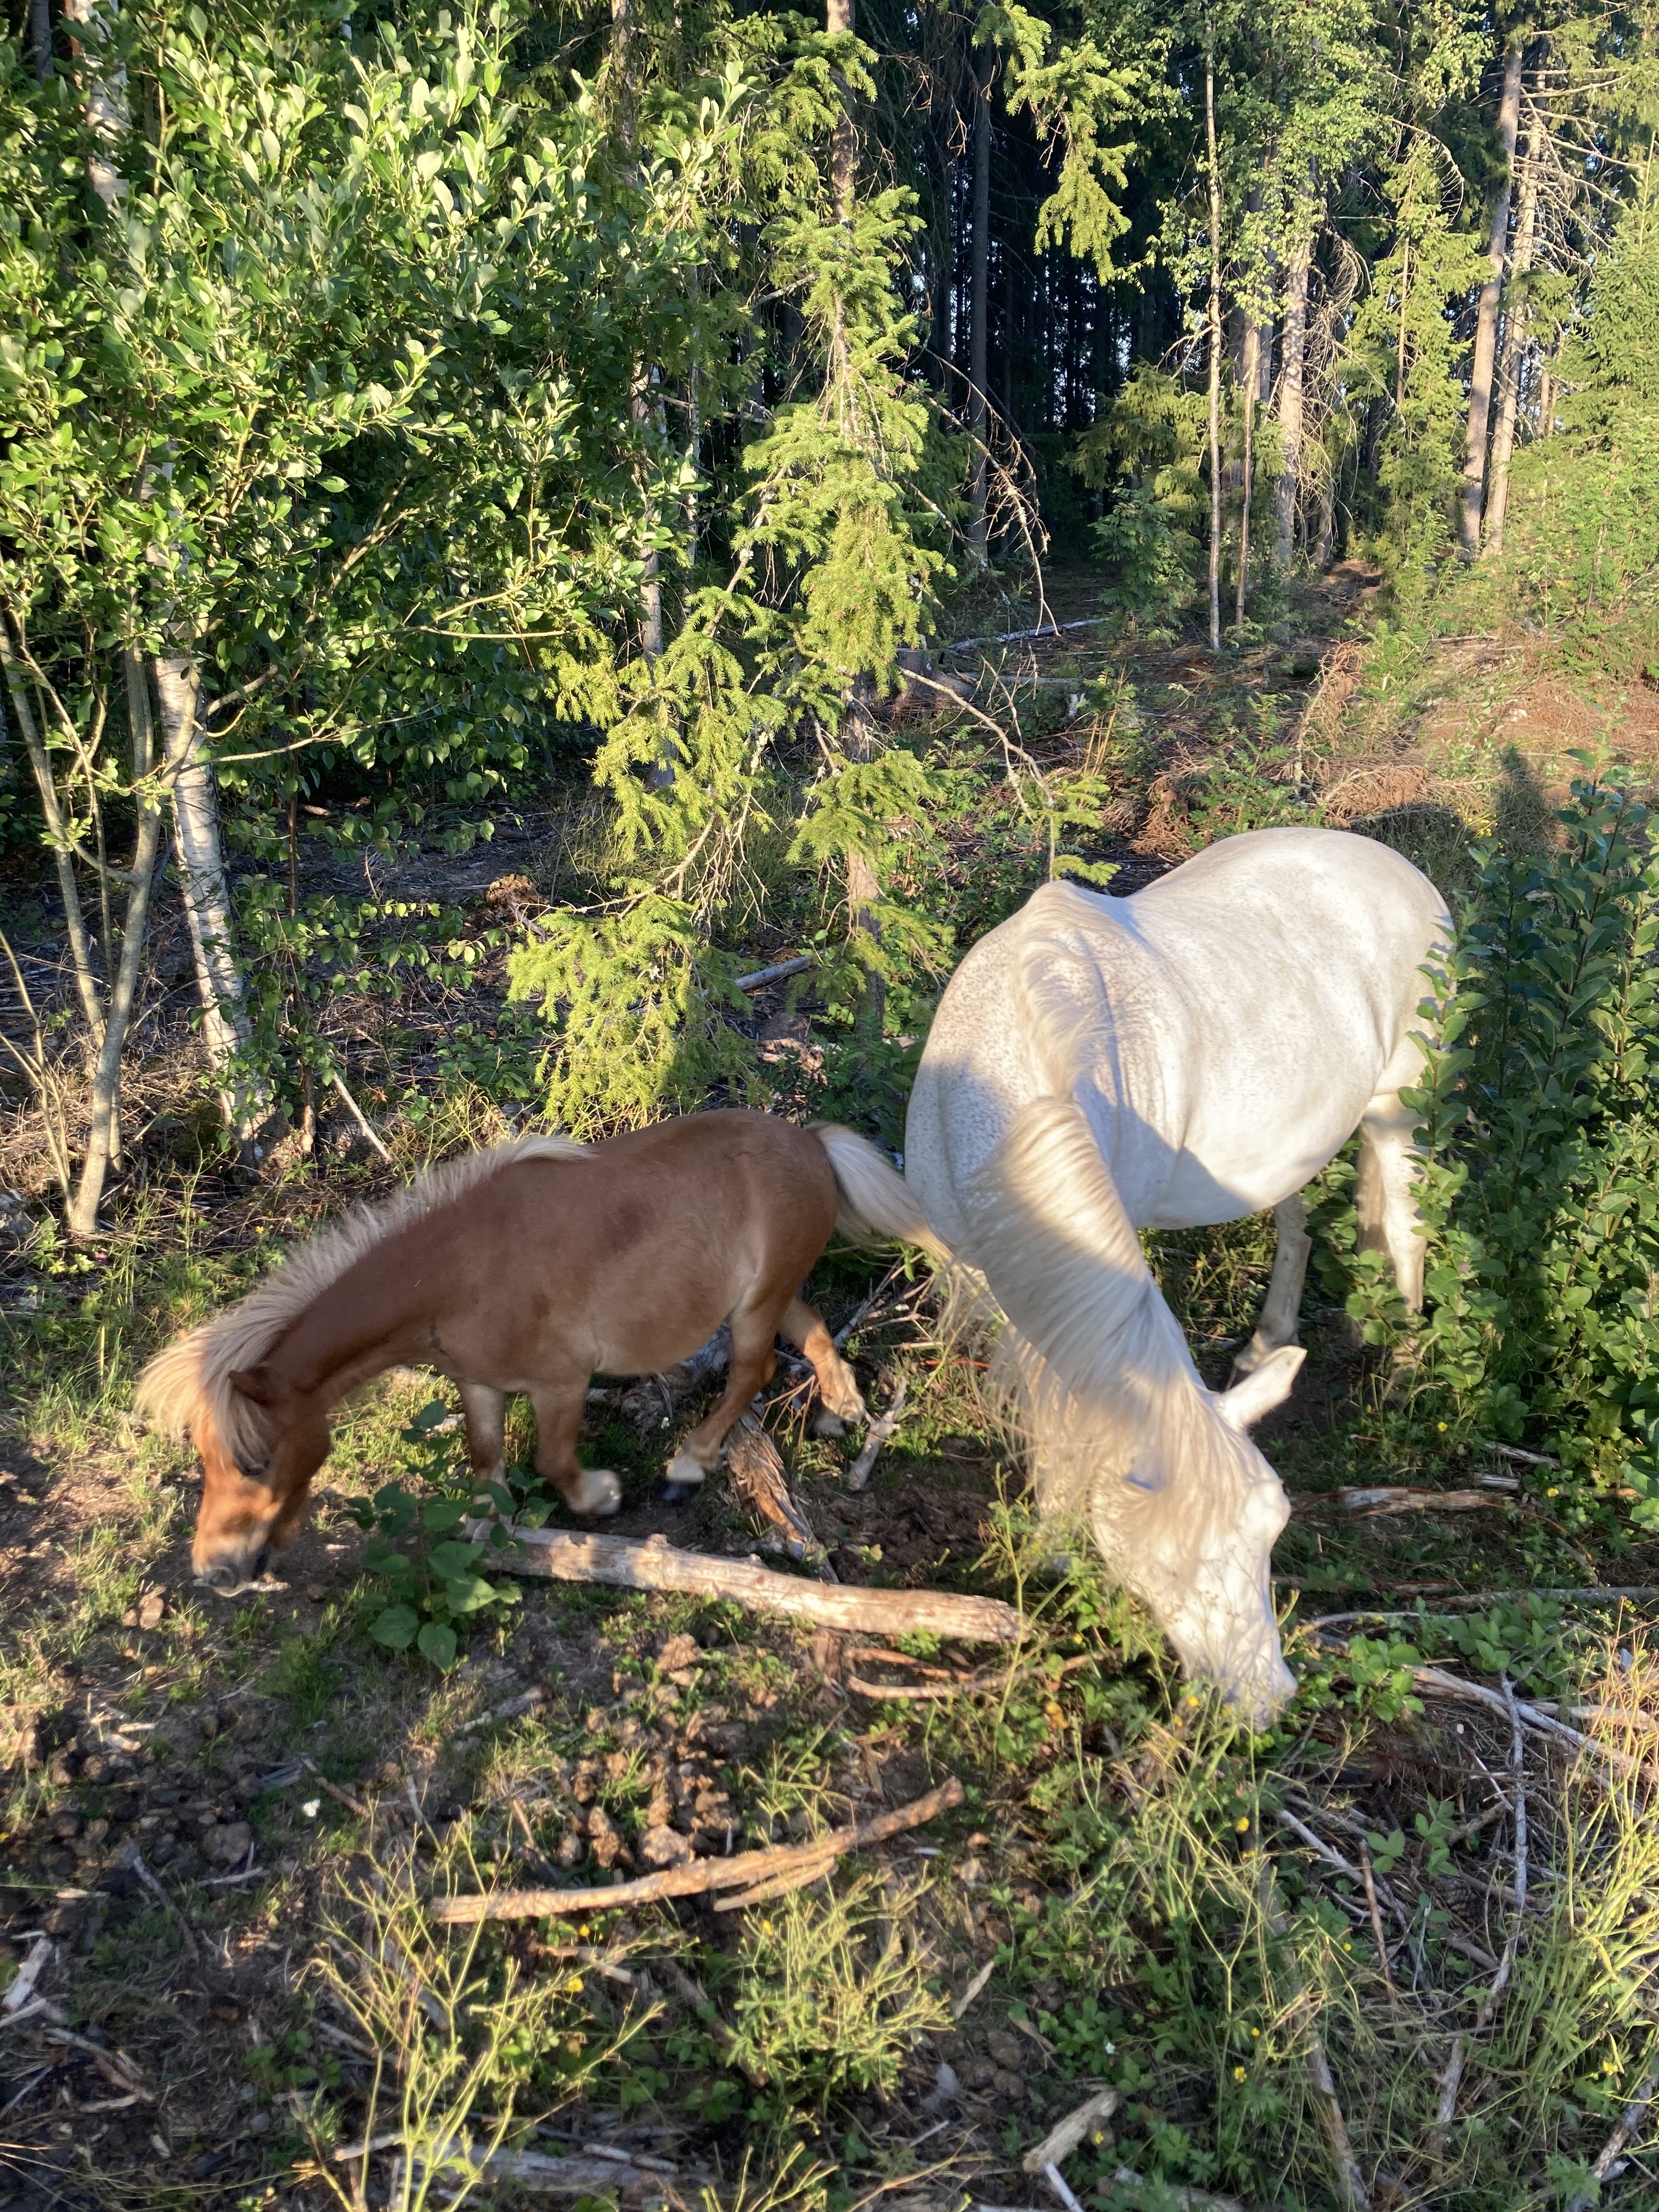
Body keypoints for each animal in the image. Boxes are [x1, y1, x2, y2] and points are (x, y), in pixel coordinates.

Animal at [136, 1115, 942, 1583]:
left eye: (254, 1461)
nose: (215, 1571)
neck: (456, 1277)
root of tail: (812, 1142)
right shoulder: (480, 1385)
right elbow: (485, 1458)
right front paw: (488, 1527)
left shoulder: (560, 1384)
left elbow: (553, 1460)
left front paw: (600, 1497)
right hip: (767, 1292)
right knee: (811, 1331)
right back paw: (839, 1411)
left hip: (752, 1311)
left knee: (755, 1369)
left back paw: (689, 1465)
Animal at [902, 822, 1451, 1716]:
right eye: (1168, 1561)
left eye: (1274, 1531)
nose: (1266, 1699)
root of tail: (1401, 868)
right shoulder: (987, 1277)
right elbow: (1055, 1410)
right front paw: (1049, 1549)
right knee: (1300, 1219)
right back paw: (1268, 1346)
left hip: (1401, 1108)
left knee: (1405, 1229)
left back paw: (1402, 1371)